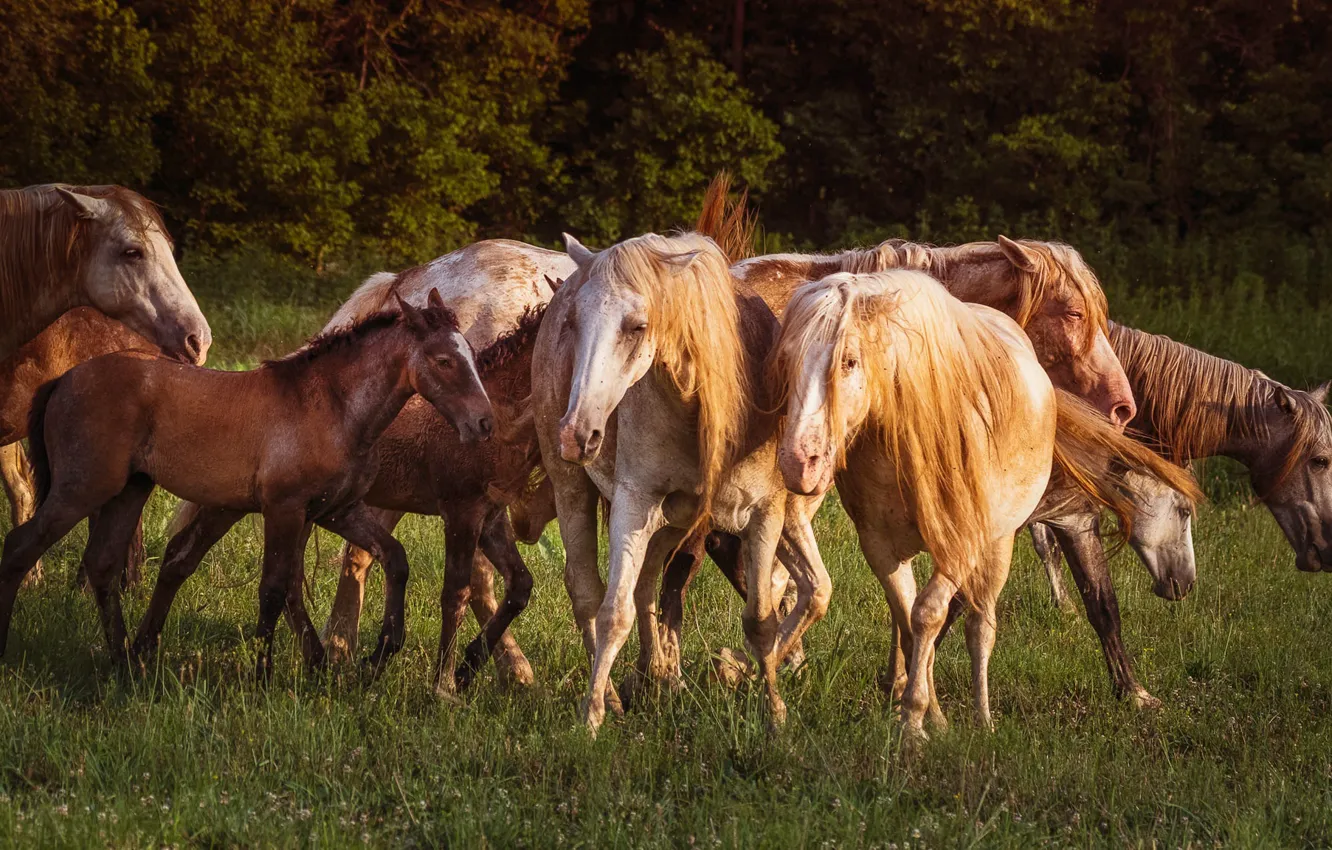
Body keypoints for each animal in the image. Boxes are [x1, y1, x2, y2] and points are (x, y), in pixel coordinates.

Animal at [534, 231, 830, 734]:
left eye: (637, 326)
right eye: (573, 322)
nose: (575, 433)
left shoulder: (764, 515)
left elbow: (761, 620)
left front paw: (773, 713)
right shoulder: (634, 502)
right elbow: (613, 613)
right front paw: (592, 716)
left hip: (675, 521)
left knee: (649, 585)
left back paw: (654, 677)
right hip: (574, 487)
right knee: (588, 590)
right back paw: (618, 693)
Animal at [770, 269, 1198, 742]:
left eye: (848, 361)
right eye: (785, 358)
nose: (798, 462)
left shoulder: (965, 545)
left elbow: (930, 616)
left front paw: (914, 721)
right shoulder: (880, 547)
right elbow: (910, 624)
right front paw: (920, 711)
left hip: (996, 549)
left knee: (981, 628)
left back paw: (983, 718)